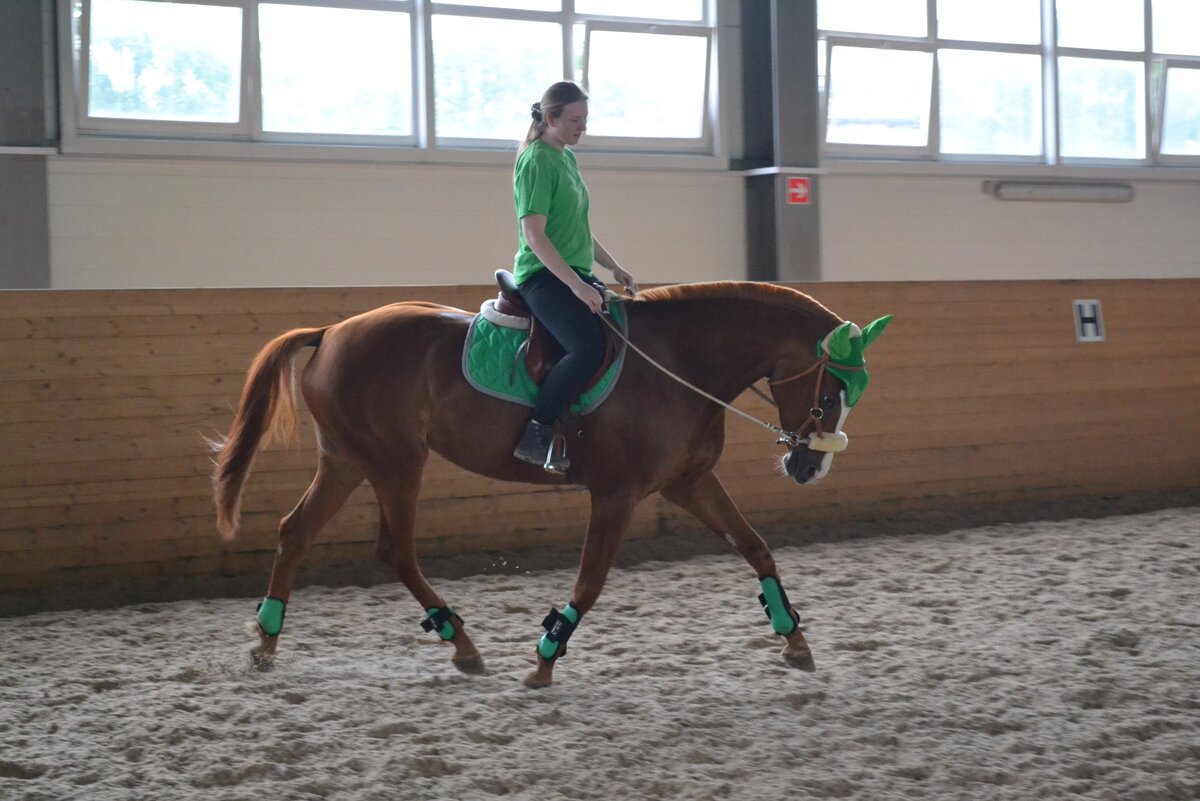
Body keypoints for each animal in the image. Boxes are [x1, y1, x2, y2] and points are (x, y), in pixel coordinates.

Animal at [213, 282, 892, 690]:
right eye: (833, 388)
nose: (811, 468)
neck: (678, 362)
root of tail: (329, 333)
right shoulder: (617, 494)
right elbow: (590, 582)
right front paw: (544, 658)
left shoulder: (688, 483)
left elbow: (757, 549)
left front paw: (794, 639)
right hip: (395, 463)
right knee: (393, 550)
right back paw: (461, 643)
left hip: (347, 461)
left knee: (296, 532)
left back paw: (267, 641)